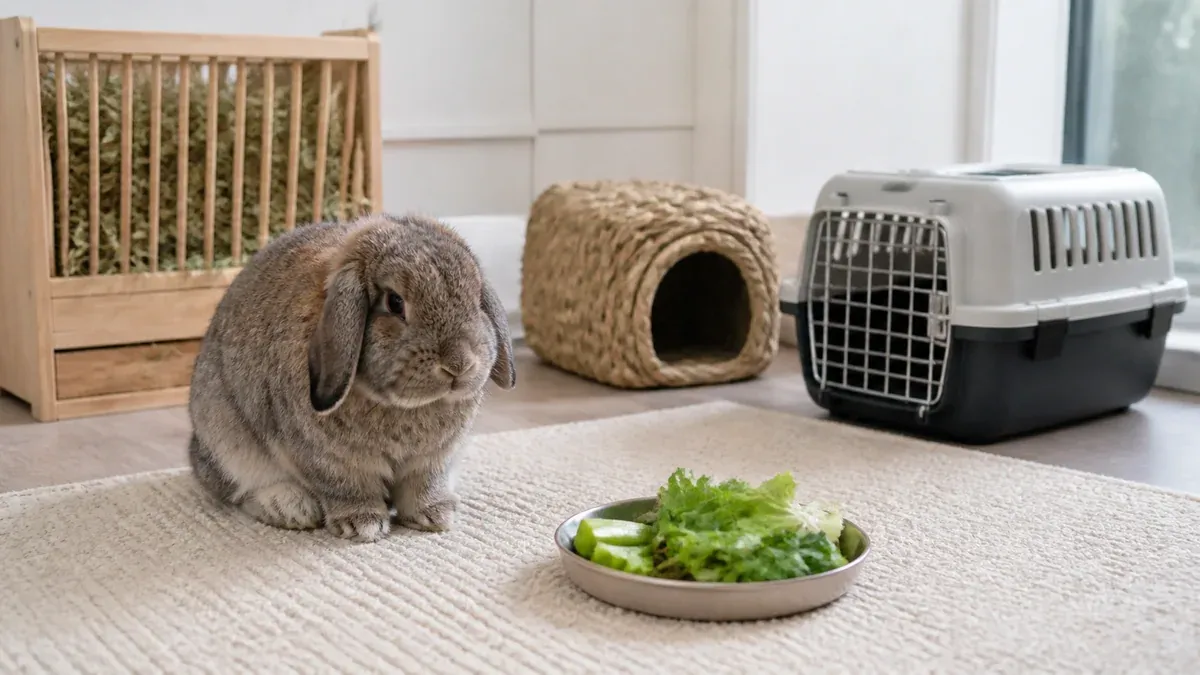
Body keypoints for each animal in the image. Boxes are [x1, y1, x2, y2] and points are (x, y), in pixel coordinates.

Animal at [186, 213, 516, 543]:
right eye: (394, 302)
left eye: (476, 299)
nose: (459, 365)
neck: (401, 405)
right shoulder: (331, 463)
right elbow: (349, 489)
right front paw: (362, 524)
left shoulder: (433, 461)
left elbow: (423, 486)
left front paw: (435, 515)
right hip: (229, 445)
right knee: (239, 491)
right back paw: (290, 508)